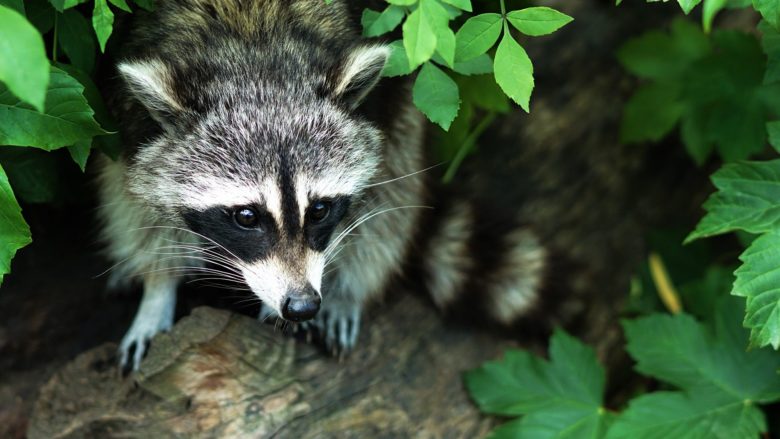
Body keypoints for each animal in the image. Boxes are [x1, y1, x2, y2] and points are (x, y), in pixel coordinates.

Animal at [99, 0, 548, 372]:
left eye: (318, 210)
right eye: (246, 216)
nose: (301, 305)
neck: (254, 54)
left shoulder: (378, 106)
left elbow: (380, 193)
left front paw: (342, 288)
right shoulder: (132, 125)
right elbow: (136, 203)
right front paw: (158, 289)